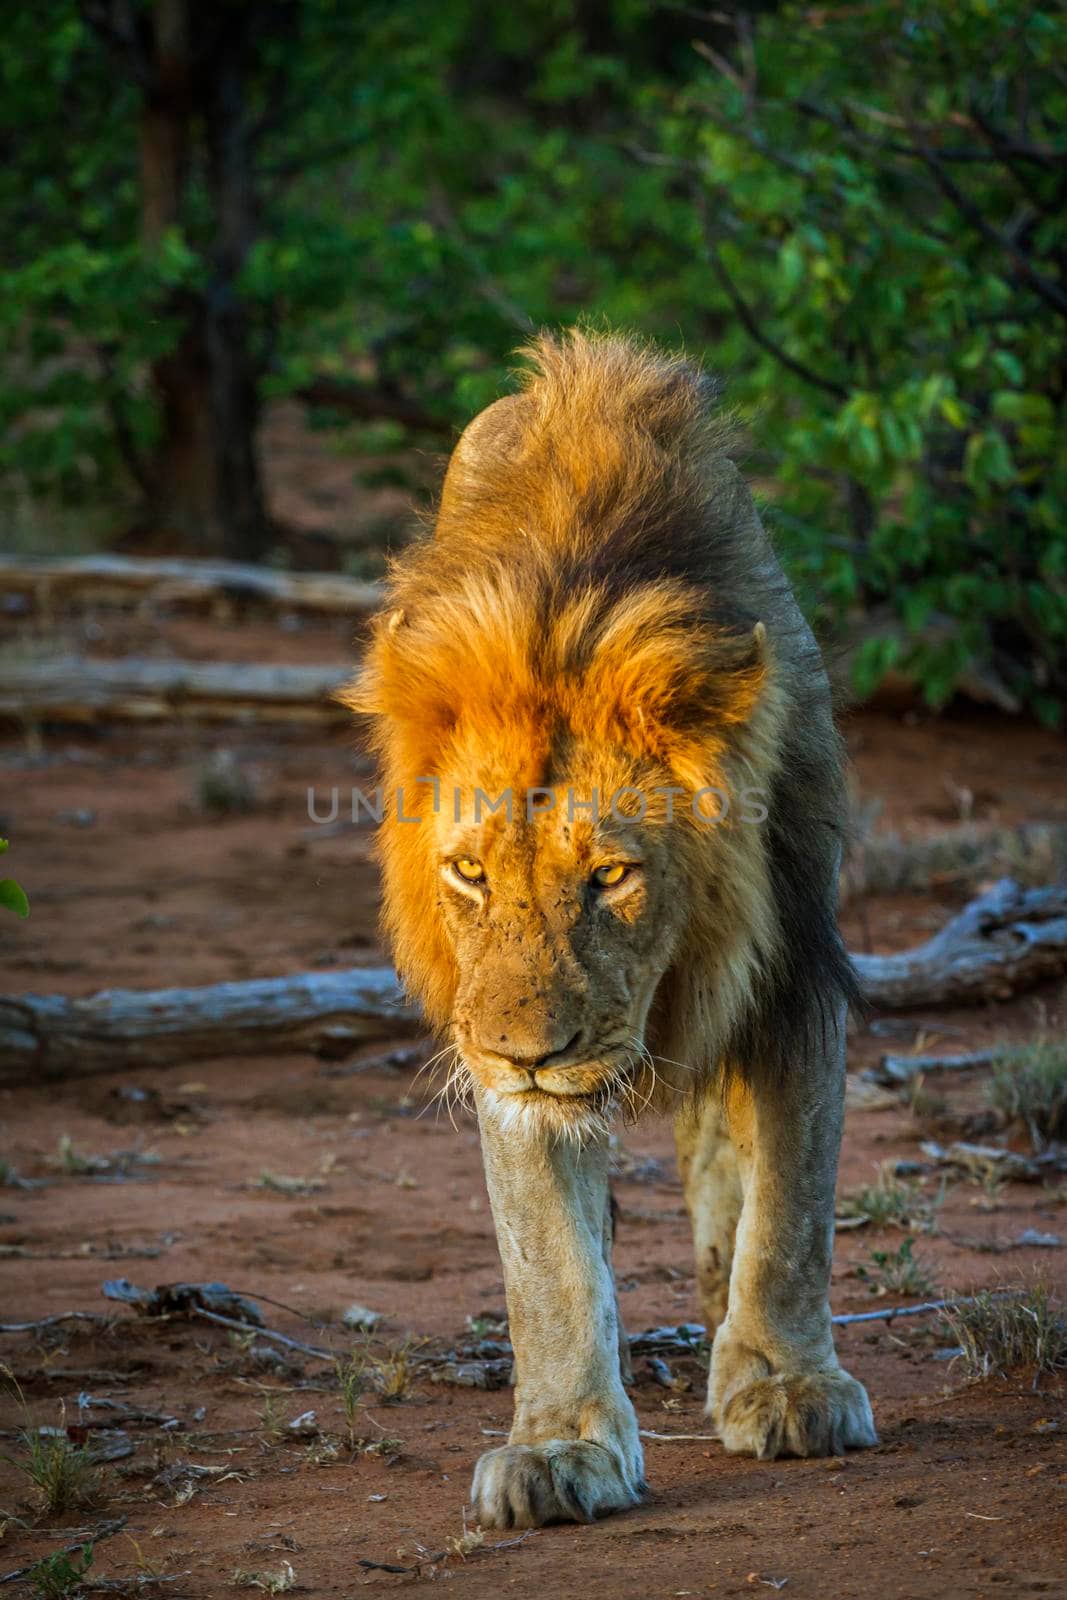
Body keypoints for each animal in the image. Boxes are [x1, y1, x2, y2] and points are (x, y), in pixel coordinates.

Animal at [342, 331, 876, 1529]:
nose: (528, 1054)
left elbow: (792, 1205)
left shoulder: (793, 965)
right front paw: (560, 1447)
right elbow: (549, 1262)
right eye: (468, 873)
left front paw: (788, 1385)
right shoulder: (498, 1059)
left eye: (610, 875)